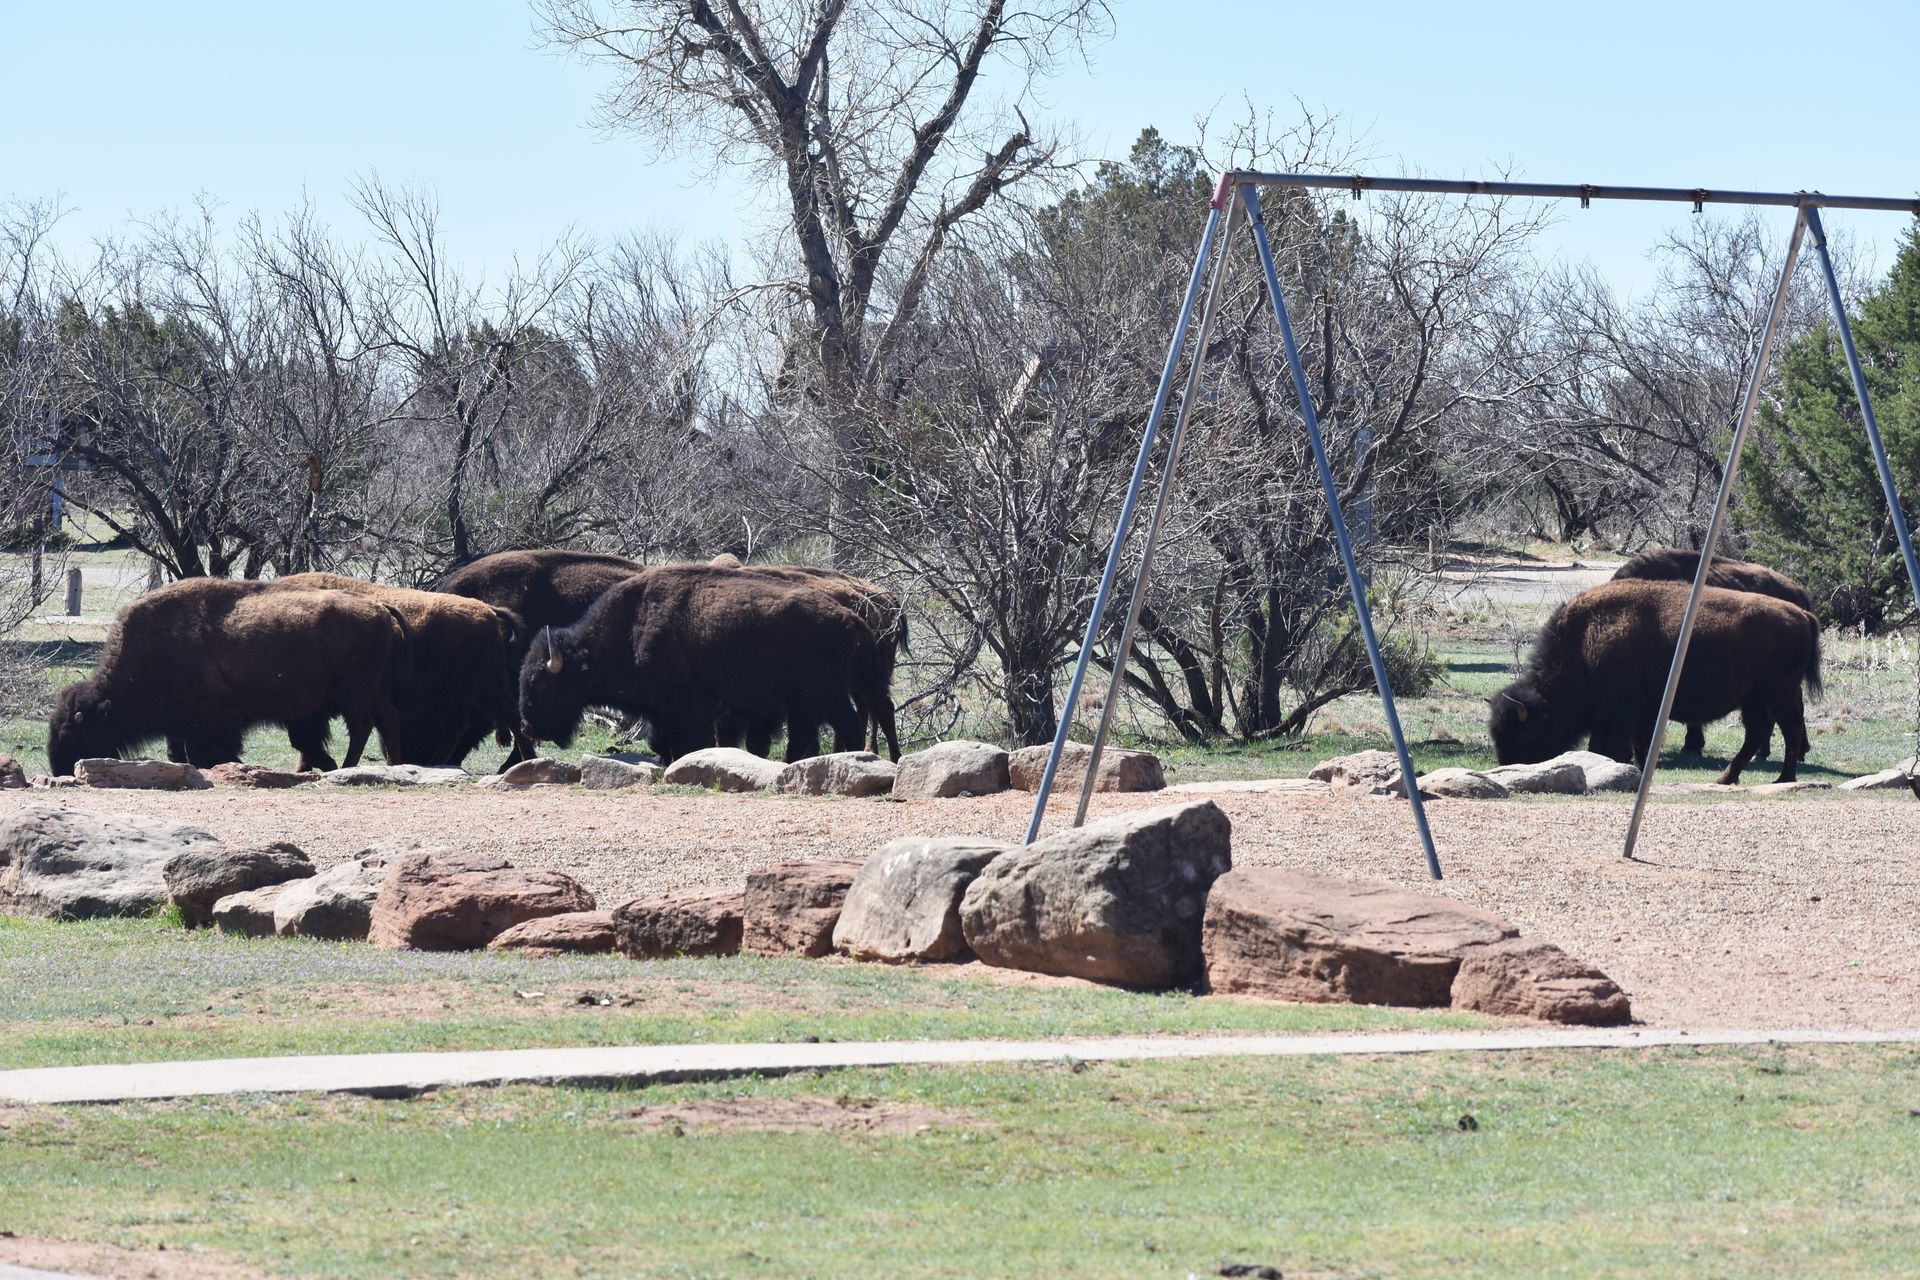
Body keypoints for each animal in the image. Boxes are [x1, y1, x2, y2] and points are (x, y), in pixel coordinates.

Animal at [49, 579, 411, 776]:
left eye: (71, 737)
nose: (60, 771)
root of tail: (379, 608)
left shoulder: (211, 719)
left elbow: (209, 751)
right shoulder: (183, 726)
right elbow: (183, 753)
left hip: (355, 692)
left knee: (363, 727)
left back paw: (349, 766)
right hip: (372, 691)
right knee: (389, 720)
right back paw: (390, 764)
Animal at [519, 565, 869, 764]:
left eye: (540, 682)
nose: (527, 725)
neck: (631, 626)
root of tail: (847, 616)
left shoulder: (685, 707)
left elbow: (688, 742)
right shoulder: (662, 710)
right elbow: (664, 740)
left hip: (825, 691)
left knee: (849, 724)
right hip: (803, 698)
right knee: (804, 733)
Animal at [1488, 579, 1821, 785]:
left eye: (1525, 734)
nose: (1506, 767)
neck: (1585, 643)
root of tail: (1802, 614)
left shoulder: (1620, 712)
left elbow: (1606, 746)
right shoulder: (1643, 715)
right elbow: (1640, 746)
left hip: (1779, 693)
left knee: (1789, 729)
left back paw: (1783, 778)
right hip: (1754, 699)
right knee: (1759, 732)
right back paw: (1727, 778)